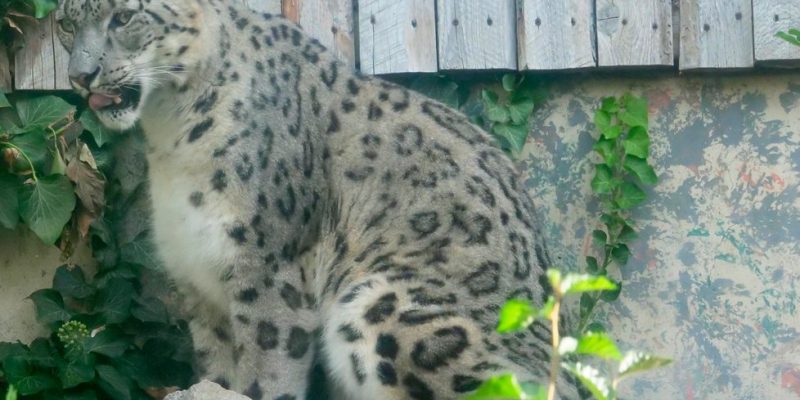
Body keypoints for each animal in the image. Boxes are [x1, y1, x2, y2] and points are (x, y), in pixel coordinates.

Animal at [55, 0, 583, 399]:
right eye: (66, 23)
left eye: (124, 16)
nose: (81, 76)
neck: (169, 134)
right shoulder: (198, 281)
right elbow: (218, 374)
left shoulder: (267, 269)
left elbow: (267, 373)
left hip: (382, 301)